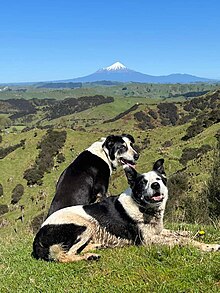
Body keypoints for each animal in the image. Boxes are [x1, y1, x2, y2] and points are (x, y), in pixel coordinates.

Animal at [31, 157, 219, 262]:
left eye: (158, 179)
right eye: (143, 182)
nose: (156, 185)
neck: (142, 207)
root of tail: (37, 239)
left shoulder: (158, 231)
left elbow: (178, 233)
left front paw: (193, 234)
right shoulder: (147, 240)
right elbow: (181, 240)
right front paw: (208, 246)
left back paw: (96, 247)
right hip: (86, 225)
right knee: (64, 255)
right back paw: (88, 257)